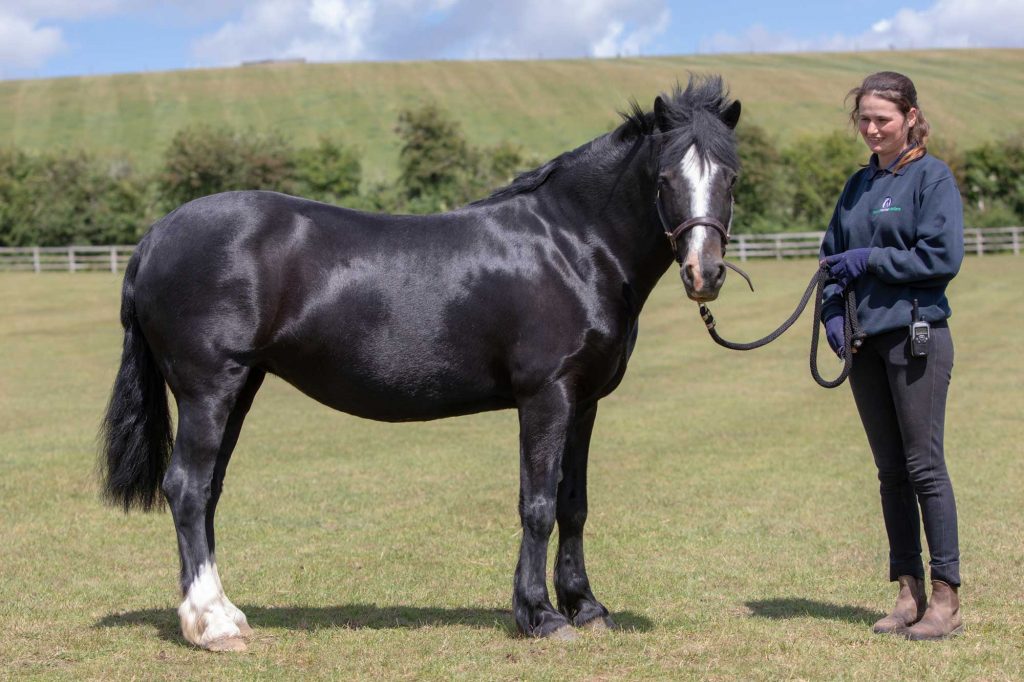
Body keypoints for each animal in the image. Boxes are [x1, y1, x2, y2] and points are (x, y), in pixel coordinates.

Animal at [103, 74, 741, 647]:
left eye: (731, 176)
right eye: (664, 177)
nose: (704, 274)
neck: (571, 246)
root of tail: (156, 236)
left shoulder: (583, 402)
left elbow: (573, 504)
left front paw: (585, 607)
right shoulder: (546, 396)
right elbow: (537, 503)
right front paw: (540, 616)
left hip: (240, 387)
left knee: (207, 490)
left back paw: (226, 614)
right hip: (209, 389)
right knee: (187, 487)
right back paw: (211, 626)